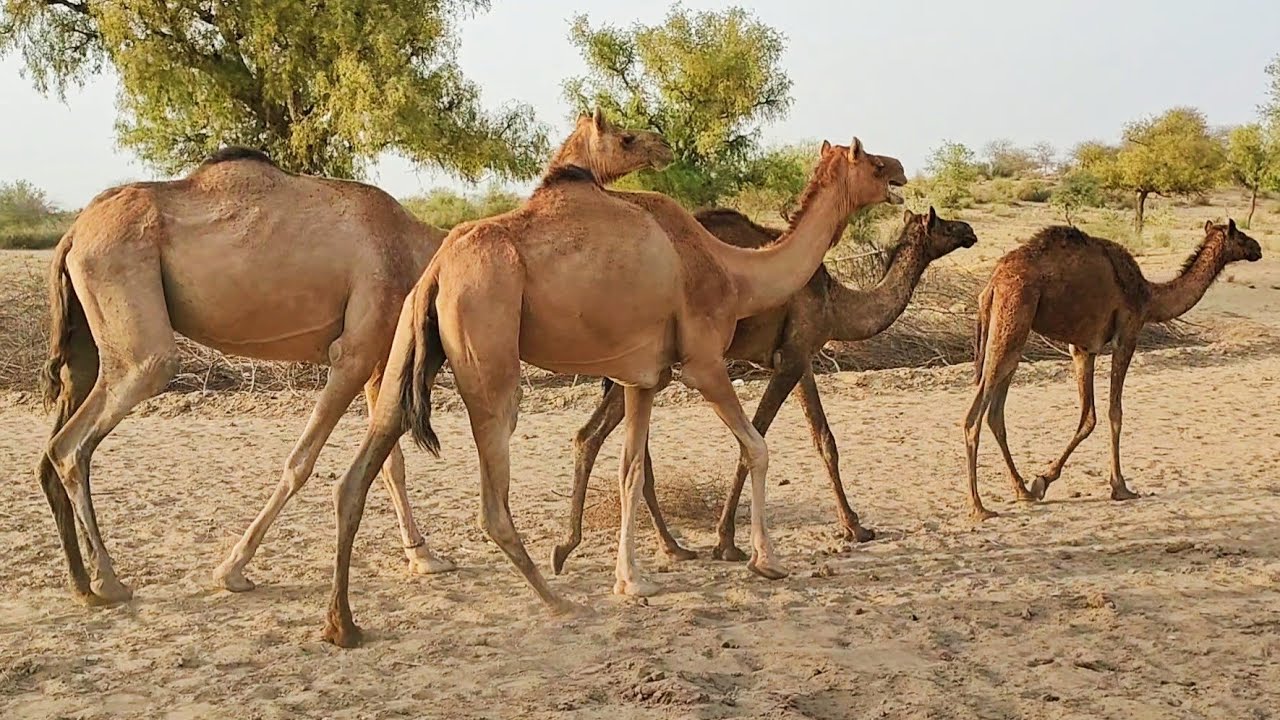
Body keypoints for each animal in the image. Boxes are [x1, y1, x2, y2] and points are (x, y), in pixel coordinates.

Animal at [36, 112, 671, 605]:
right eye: (625, 136)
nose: (663, 142)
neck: (419, 249)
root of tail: (70, 235)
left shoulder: (380, 355)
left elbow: (391, 462)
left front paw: (424, 557)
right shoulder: (357, 346)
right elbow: (302, 460)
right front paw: (233, 569)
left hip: (87, 339)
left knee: (56, 444)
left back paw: (82, 583)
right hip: (138, 326)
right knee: (74, 442)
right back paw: (111, 582)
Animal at [321, 137, 908, 647]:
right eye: (872, 161)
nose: (902, 172)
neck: (734, 272)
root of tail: (439, 268)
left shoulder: (641, 378)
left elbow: (629, 471)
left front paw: (632, 580)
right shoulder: (702, 364)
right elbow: (756, 448)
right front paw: (766, 560)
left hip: (409, 340)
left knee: (359, 470)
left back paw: (342, 624)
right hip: (487, 348)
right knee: (492, 500)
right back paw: (557, 600)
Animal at [552, 206, 978, 572]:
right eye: (942, 222)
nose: (970, 231)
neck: (836, 302)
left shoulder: (799, 357)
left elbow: (824, 438)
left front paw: (855, 527)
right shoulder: (792, 357)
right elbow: (755, 437)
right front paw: (726, 543)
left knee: (603, 438)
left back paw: (663, 547)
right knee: (597, 436)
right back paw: (581, 546)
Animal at [962, 220, 1263, 520]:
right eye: (1240, 235)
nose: (1257, 248)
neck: (1149, 296)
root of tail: (992, 284)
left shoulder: (1083, 348)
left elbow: (1088, 416)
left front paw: (1041, 482)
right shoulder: (1127, 333)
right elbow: (1114, 412)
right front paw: (1120, 487)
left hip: (1011, 334)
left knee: (995, 413)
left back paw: (1021, 490)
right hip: (1012, 317)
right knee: (974, 416)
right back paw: (979, 507)